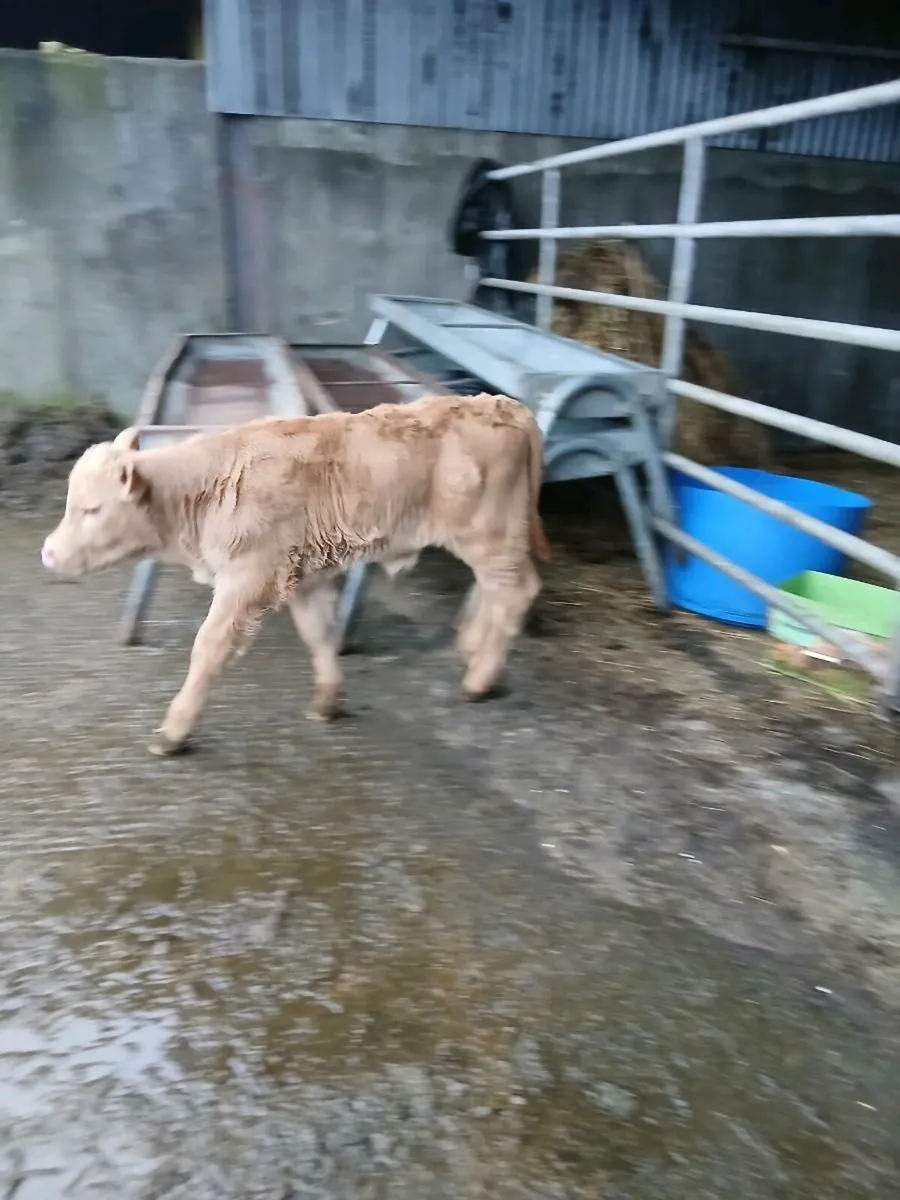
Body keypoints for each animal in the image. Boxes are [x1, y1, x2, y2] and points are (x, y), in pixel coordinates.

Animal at [41, 393, 549, 756]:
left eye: (92, 508)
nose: (47, 553)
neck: (207, 489)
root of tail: (504, 405)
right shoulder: (302, 577)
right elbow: (318, 634)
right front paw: (329, 700)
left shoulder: (248, 576)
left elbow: (208, 649)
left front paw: (174, 730)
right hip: (489, 538)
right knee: (493, 590)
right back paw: (472, 647)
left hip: (489, 533)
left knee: (517, 591)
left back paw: (480, 679)